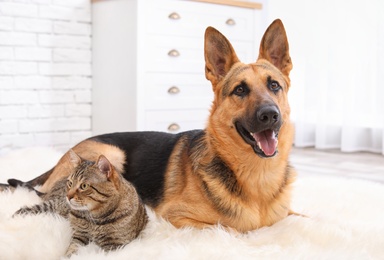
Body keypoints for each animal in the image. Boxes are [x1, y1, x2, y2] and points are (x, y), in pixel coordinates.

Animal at [4, 19, 296, 233]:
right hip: (111, 155)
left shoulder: (288, 213)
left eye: (274, 85)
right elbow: (236, 229)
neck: (257, 174)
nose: (270, 115)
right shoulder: (181, 218)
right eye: (240, 90)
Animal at [12, 149, 148, 256]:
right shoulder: (79, 236)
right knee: (30, 208)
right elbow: (72, 250)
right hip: (54, 205)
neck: (95, 217)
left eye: (83, 186)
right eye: (70, 183)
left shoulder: (115, 245)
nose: (68, 196)